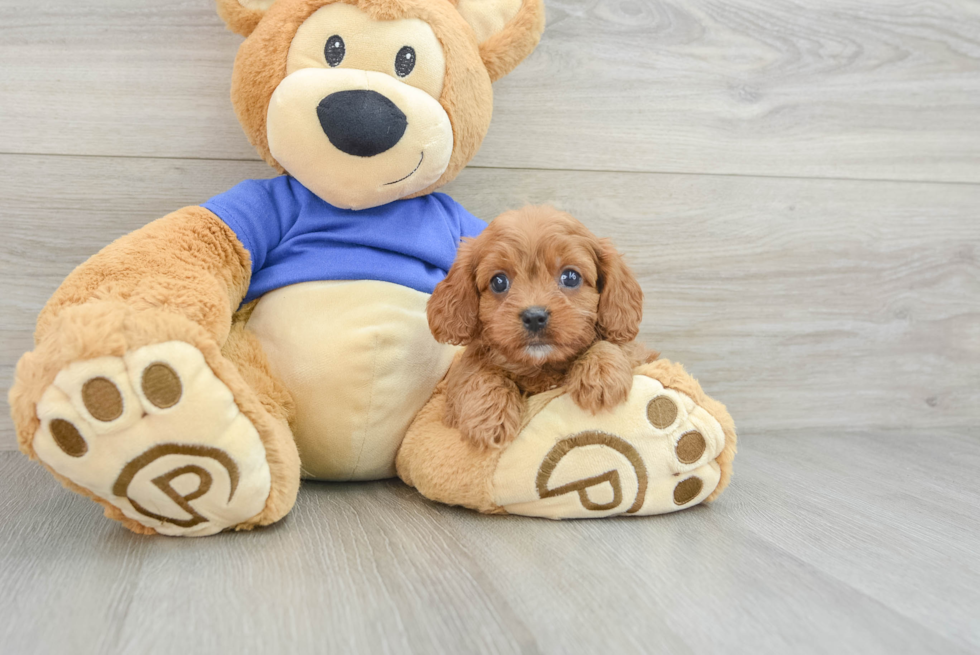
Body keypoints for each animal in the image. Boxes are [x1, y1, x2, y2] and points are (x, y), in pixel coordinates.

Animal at [428, 208, 660, 448]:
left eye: (571, 277)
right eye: (499, 282)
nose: (534, 317)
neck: (541, 366)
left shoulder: (639, 353)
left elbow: (613, 344)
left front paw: (601, 374)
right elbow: (476, 373)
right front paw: (488, 416)